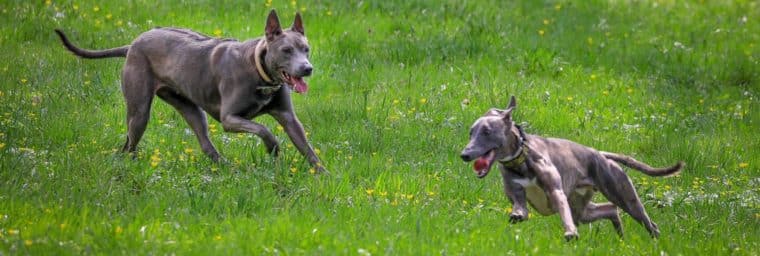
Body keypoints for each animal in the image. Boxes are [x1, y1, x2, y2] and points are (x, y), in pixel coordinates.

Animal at [55, 11, 326, 172]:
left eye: (306, 48)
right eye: (287, 50)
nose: (307, 68)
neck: (260, 73)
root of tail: (132, 44)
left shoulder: (288, 118)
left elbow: (306, 147)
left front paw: (323, 175)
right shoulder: (229, 119)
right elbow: (263, 129)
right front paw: (273, 148)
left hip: (191, 108)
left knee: (205, 144)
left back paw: (227, 169)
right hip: (139, 110)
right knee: (129, 144)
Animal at [460, 96, 684, 240]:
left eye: (487, 131)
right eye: (471, 132)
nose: (464, 155)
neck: (521, 160)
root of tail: (601, 154)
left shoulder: (556, 191)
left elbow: (564, 215)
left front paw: (570, 233)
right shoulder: (516, 193)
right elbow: (520, 208)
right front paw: (517, 215)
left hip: (624, 196)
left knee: (648, 223)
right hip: (582, 208)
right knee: (610, 209)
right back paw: (620, 236)